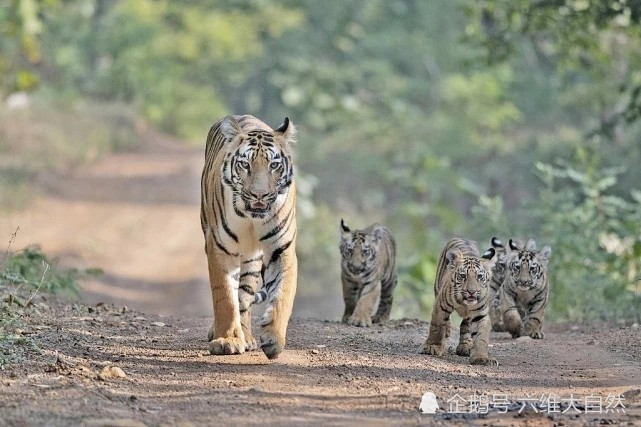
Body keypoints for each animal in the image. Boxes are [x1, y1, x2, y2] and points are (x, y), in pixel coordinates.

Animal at [200, 114, 298, 362]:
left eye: (274, 165)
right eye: (245, 165)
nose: (259, 195)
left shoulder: (282, 249)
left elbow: (282, 295)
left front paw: (273, 339)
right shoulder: (219, 248)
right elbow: (225, 297)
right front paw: (226, 341)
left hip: (252, 260)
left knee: (244, 297)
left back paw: (247, 336)